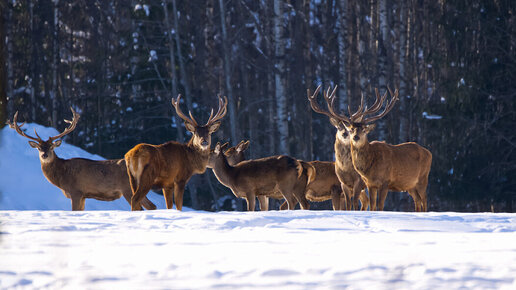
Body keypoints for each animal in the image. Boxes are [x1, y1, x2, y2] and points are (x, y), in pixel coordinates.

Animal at [7, 109, 155, 211]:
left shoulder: (76, 191)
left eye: (51, 147)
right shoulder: (84, 195)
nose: (44, 155)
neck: (62, 176)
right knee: (152, 206)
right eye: (39, 148)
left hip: (128, 188)